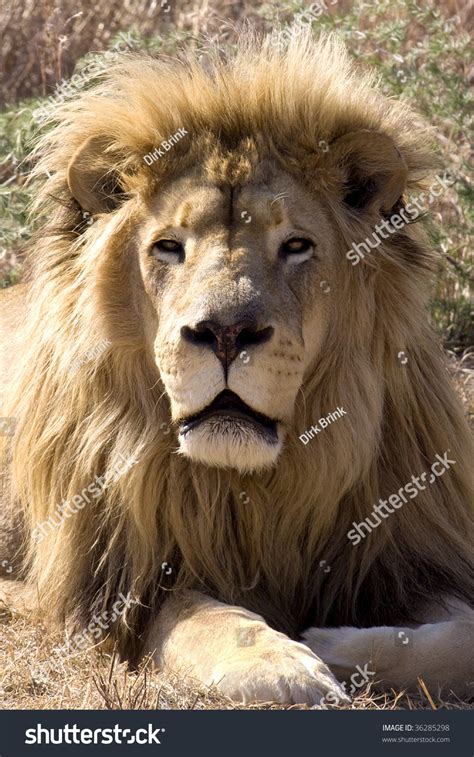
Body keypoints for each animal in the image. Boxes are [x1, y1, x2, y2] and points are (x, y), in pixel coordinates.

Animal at [0, 29, 472, 704]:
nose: (225, 334)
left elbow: (462, 636)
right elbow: (204, 616)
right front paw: (287, 666)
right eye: (168, 247)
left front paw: (336, 643)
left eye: (296, 245)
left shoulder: (410, 554)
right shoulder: (124, 586)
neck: (254, 488)